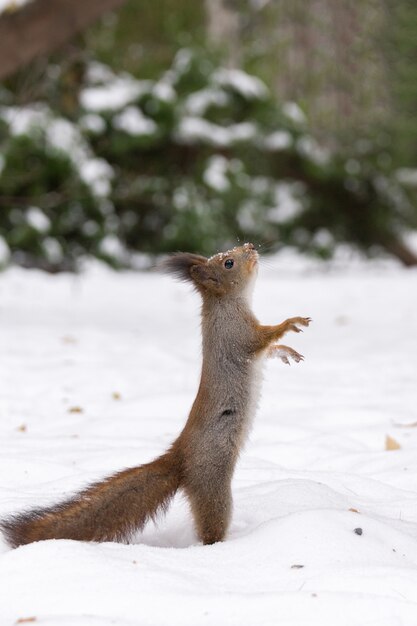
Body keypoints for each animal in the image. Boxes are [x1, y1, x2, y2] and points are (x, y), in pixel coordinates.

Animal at [0, 244, 308, 544]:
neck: (228, 303)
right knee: (211, 526)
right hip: (213, 483)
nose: (251, 246)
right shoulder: (237, 334)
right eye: (228, 262)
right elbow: (261, 339)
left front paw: (287, 352)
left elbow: (269, 349)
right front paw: (290, 323)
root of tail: (179, 458)